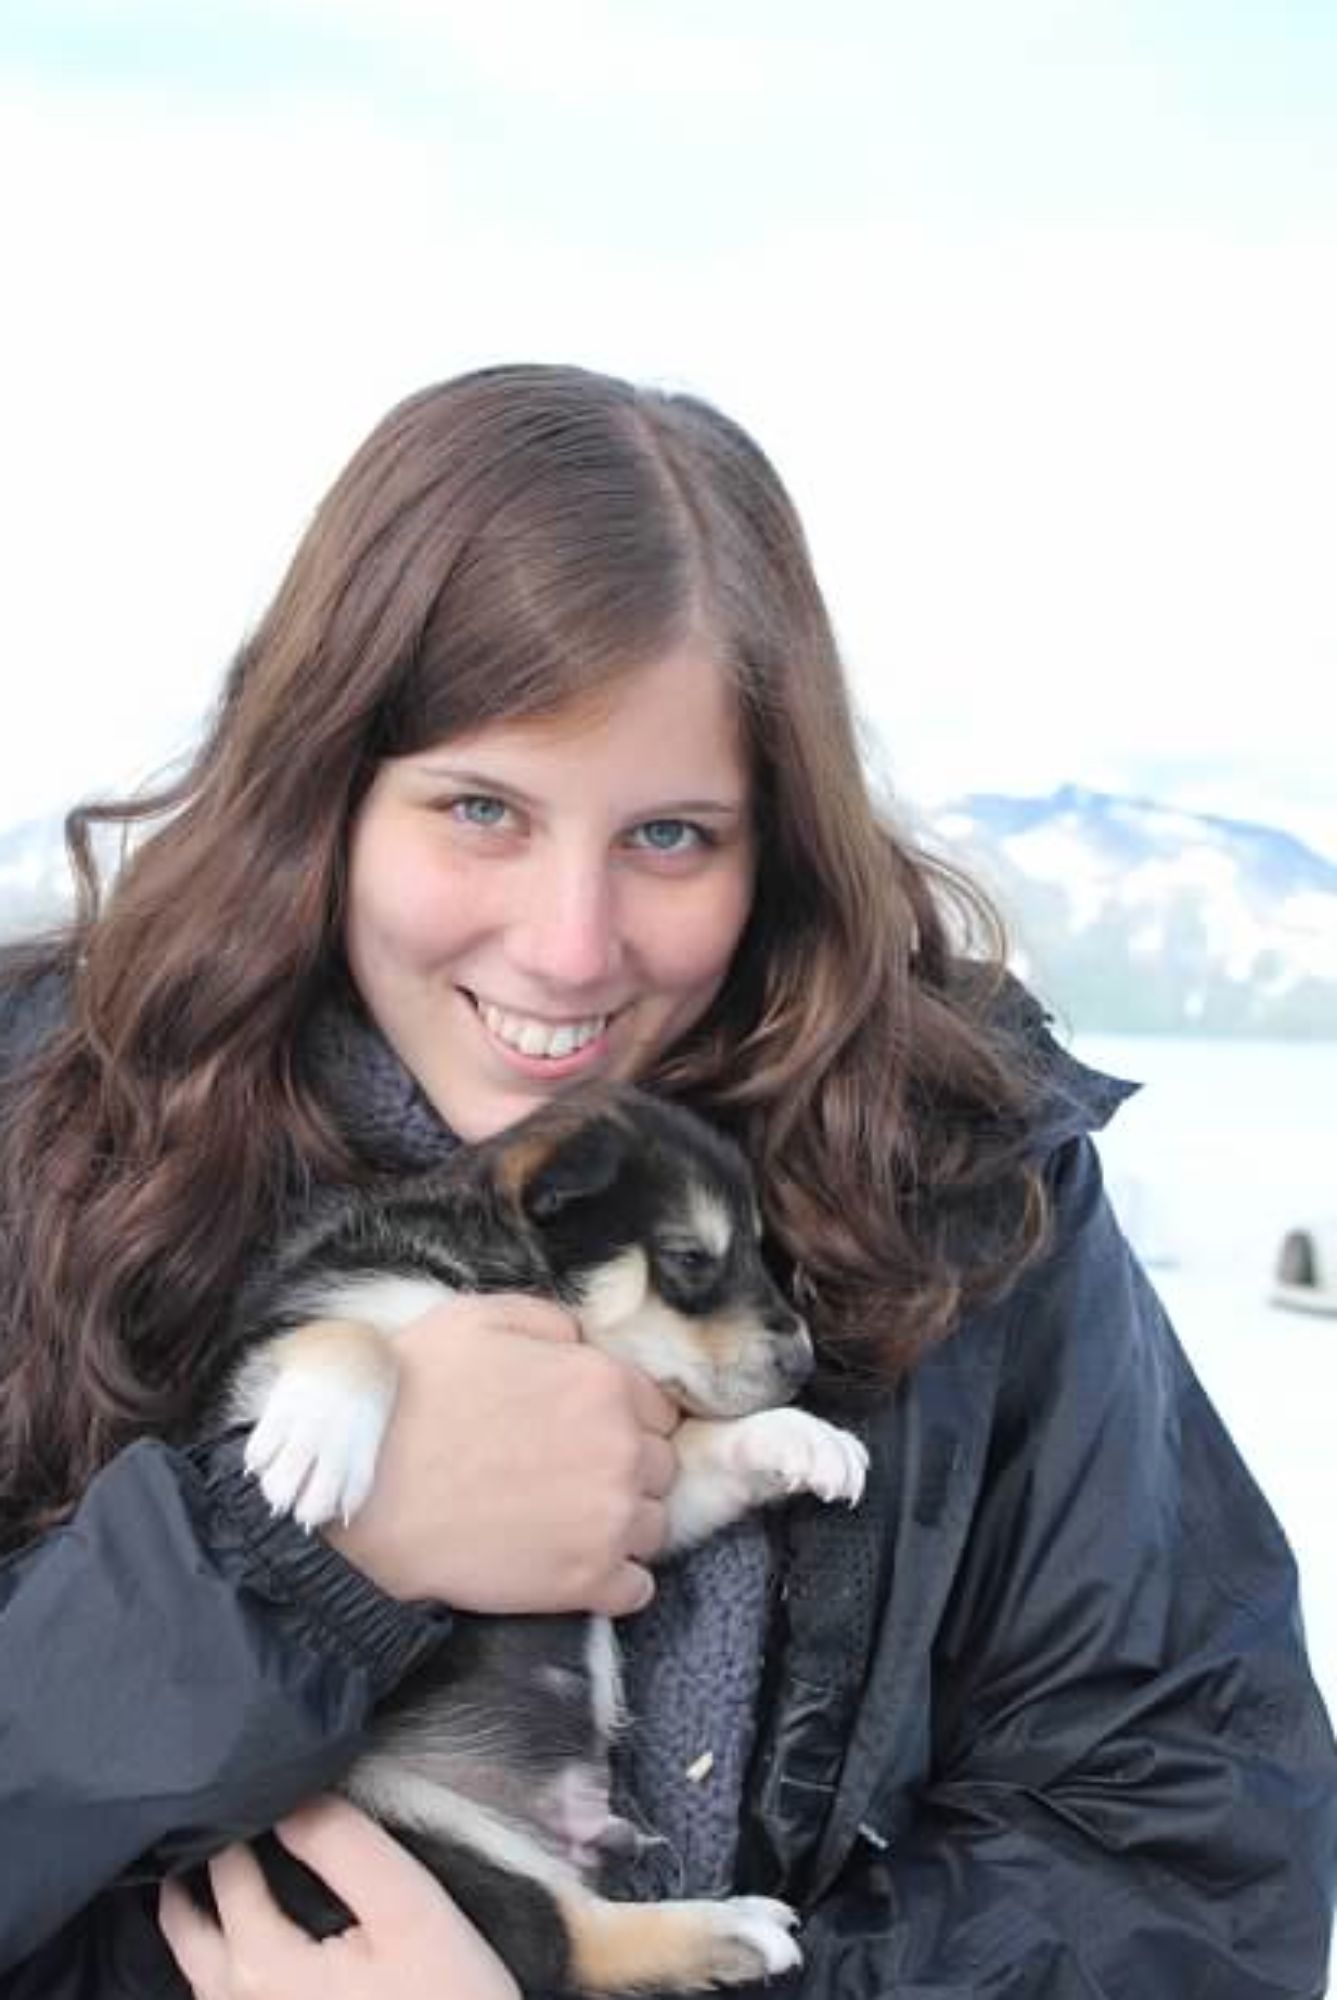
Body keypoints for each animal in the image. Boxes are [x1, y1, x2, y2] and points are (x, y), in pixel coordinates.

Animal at [222, 1088, 868, 1992]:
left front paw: (808, 1439)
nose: (803, 1364)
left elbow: (709, 1448)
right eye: (690, 1258)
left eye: (758, 1251)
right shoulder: (280, 1359)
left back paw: (732, 1926)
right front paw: (318, 1440)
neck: (503, 1268)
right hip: (414, 1831)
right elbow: (357, 1339)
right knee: (559, 1944)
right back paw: (735, 1928)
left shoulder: (645, 1498)